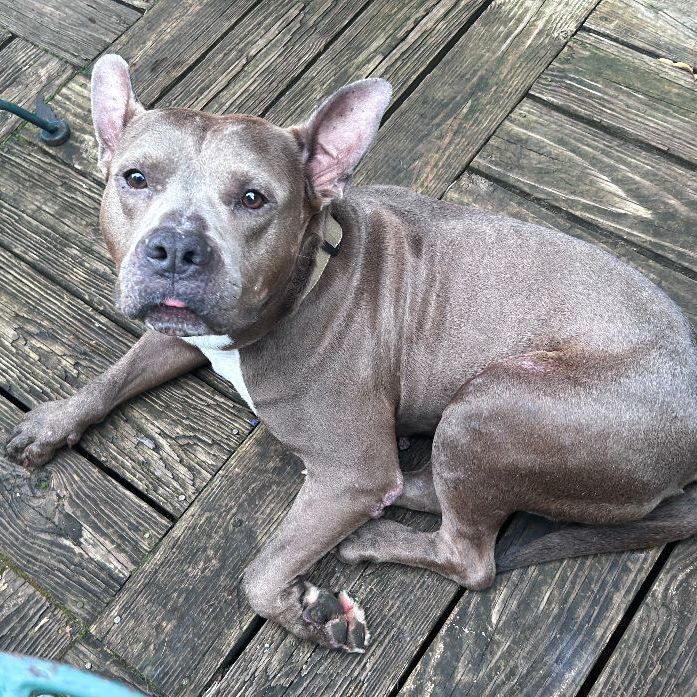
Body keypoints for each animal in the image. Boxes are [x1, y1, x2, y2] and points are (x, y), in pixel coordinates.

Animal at [5, 54, 696, 652]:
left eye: (253, 198)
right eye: (135, 178)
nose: (175, 248)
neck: (305, 280)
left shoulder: (353, 470)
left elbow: (259, 575)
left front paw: (309, 617)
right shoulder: (187, 332)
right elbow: (116, 373)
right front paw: (55, 420)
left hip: (491, 406)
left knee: (470, 556)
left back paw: (378, 535)